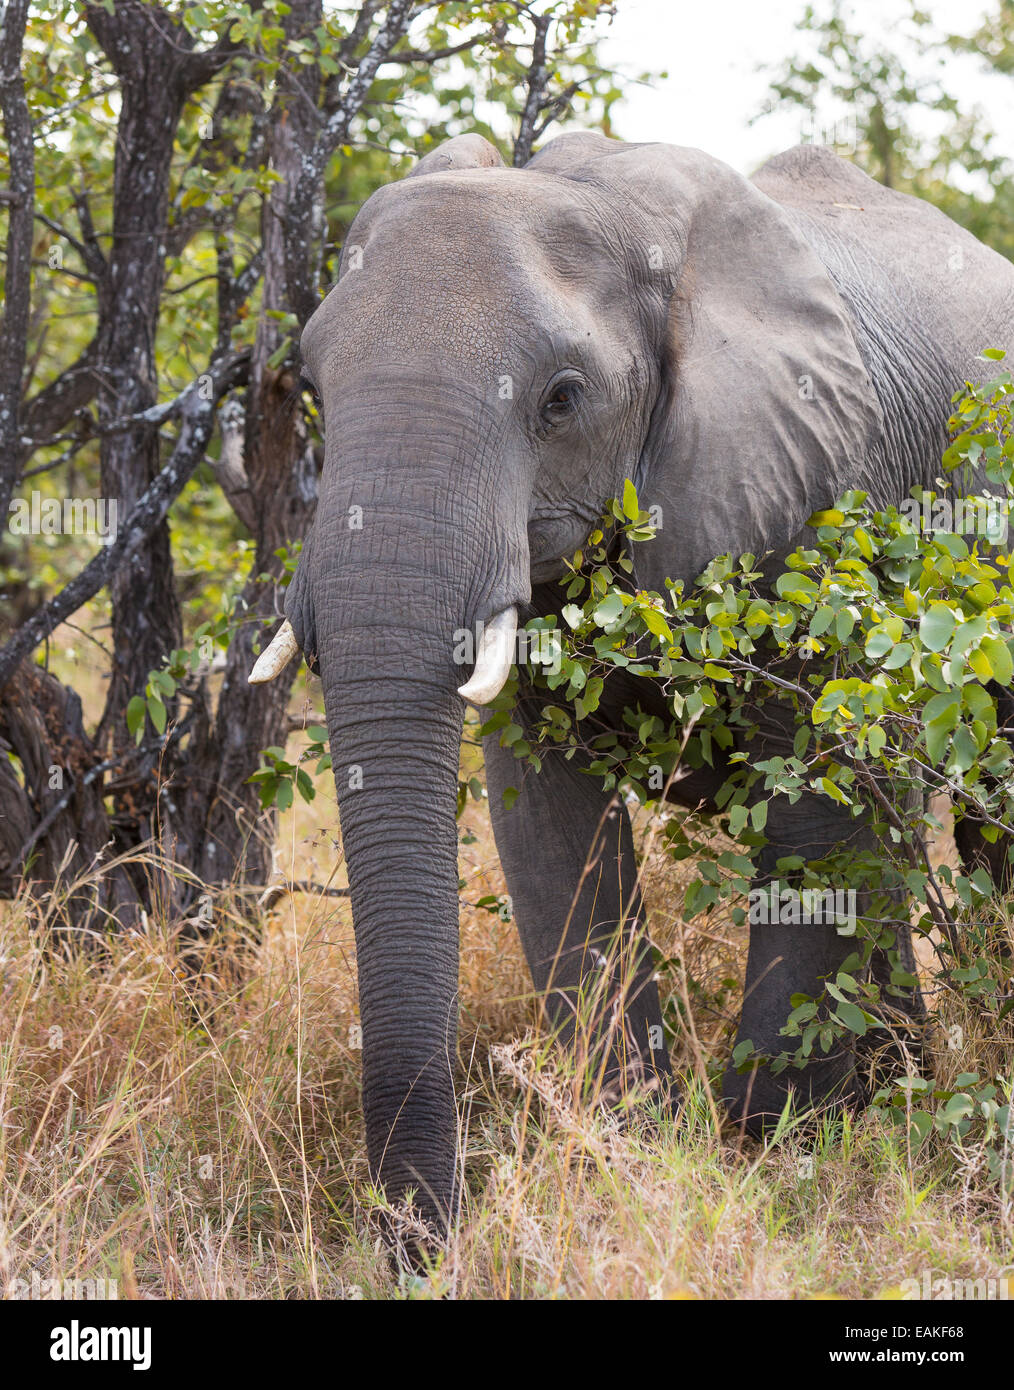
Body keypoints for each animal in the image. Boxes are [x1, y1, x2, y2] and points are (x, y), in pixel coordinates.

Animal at [248, 130, 1012, 1228]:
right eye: (309, 384)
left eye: (561, 399)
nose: (420, 1242)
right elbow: (548, 826)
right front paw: (634, 1142)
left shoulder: (831, 493)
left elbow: (824, 803)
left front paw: (772, 1146)